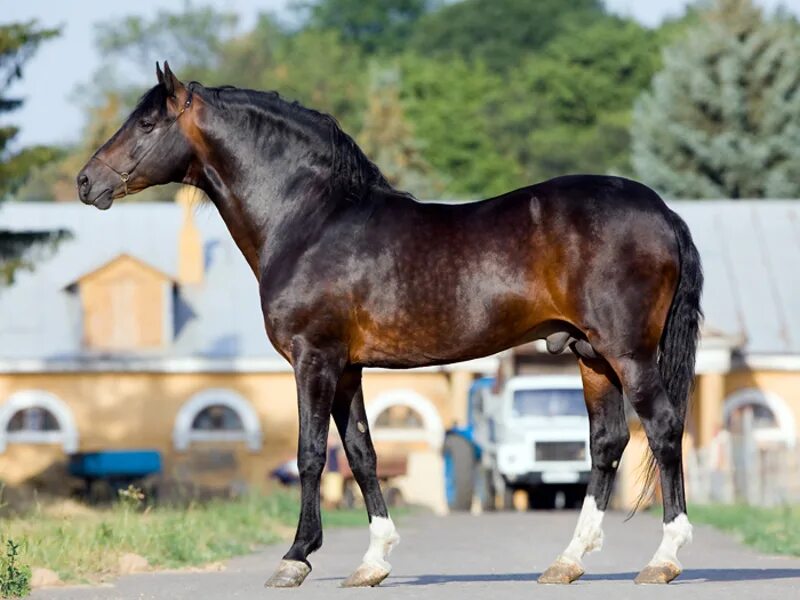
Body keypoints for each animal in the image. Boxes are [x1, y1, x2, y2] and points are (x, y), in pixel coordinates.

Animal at [75, 63, 700, 588]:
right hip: (591, 355)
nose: (86, 182)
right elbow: (361, 453)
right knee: (607, 443)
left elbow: (310, 453)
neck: (311, 220)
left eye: (147, 122)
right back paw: (567, 562)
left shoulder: (313, 359)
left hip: (628, 353)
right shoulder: (347, 368)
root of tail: (664, 212)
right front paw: (372, 562)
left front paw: (295, 558)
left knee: (664, 429)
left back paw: (663, 559)